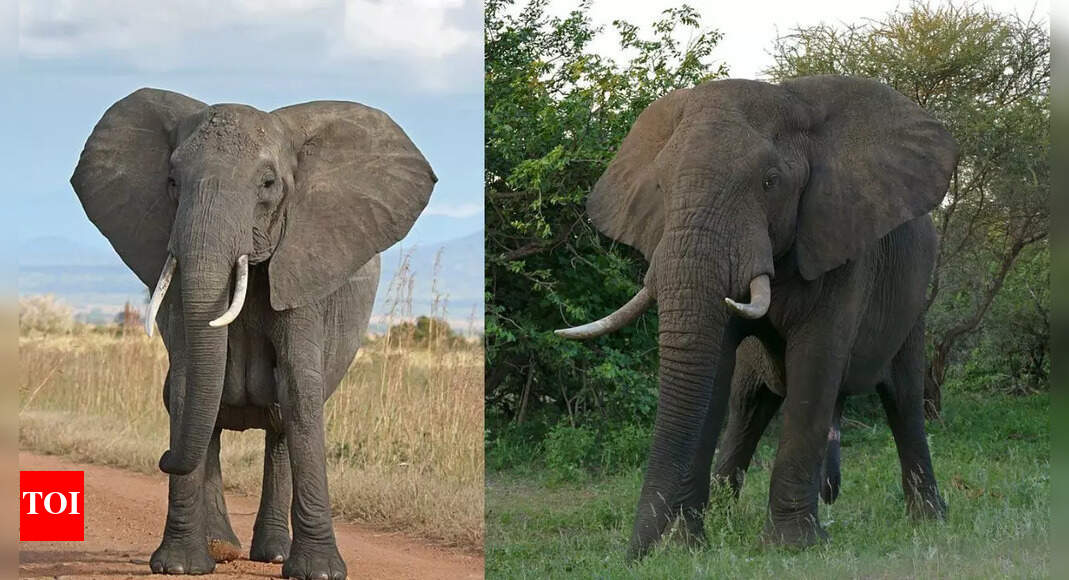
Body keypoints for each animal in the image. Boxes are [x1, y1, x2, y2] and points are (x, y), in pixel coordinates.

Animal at [70, 88, 436, 578]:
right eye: (172, 181)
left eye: (267, 184)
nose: (163, 459)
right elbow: (186, 385)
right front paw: (180, 566)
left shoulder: (305, 266)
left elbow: (299, 387)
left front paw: (319, 572)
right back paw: (221, 548)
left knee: (281, 420)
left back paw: (272, 554)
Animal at [555, 75, 956, 559]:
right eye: (660, 188)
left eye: (770, 182)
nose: (632, 558)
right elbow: (715, 375)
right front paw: (688, 547)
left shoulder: (840, 241)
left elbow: (816, 364)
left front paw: (792, 546)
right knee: (748, 407)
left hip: (912, 300)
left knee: (904, 398)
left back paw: (929, 520)